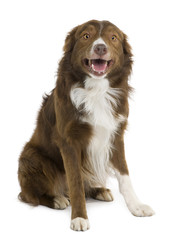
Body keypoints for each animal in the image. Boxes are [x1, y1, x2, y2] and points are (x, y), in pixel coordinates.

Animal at [18, 20, 154, 231]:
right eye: (86, 36)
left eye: (113, 37)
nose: (100, 48)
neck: (96, 90)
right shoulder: (69, 141)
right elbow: (75, 183)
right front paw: (79, 217)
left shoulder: (116, 135)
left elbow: (125, 175)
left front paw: (136, 206)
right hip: (31, 157)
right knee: (27, 195)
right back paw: (56, 199)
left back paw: (99, 190)